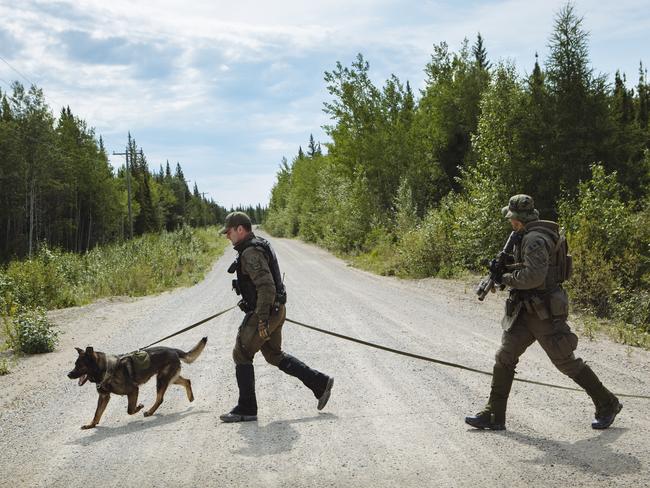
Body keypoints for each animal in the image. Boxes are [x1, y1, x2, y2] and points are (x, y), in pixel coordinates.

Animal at [67, 338, 206, 428]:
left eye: (80, 365)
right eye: (75, 364)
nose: (68, 374)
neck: (105, 368)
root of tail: (173, 350)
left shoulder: (133, 390)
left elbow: (130, 410)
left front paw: (139, 407)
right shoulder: (104, 396)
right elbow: (97, 413)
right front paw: (91, 424)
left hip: (162, 379)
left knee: (160, 398)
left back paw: (149, 411)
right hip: (169, 378)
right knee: (187, 381)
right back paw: (190, 397)